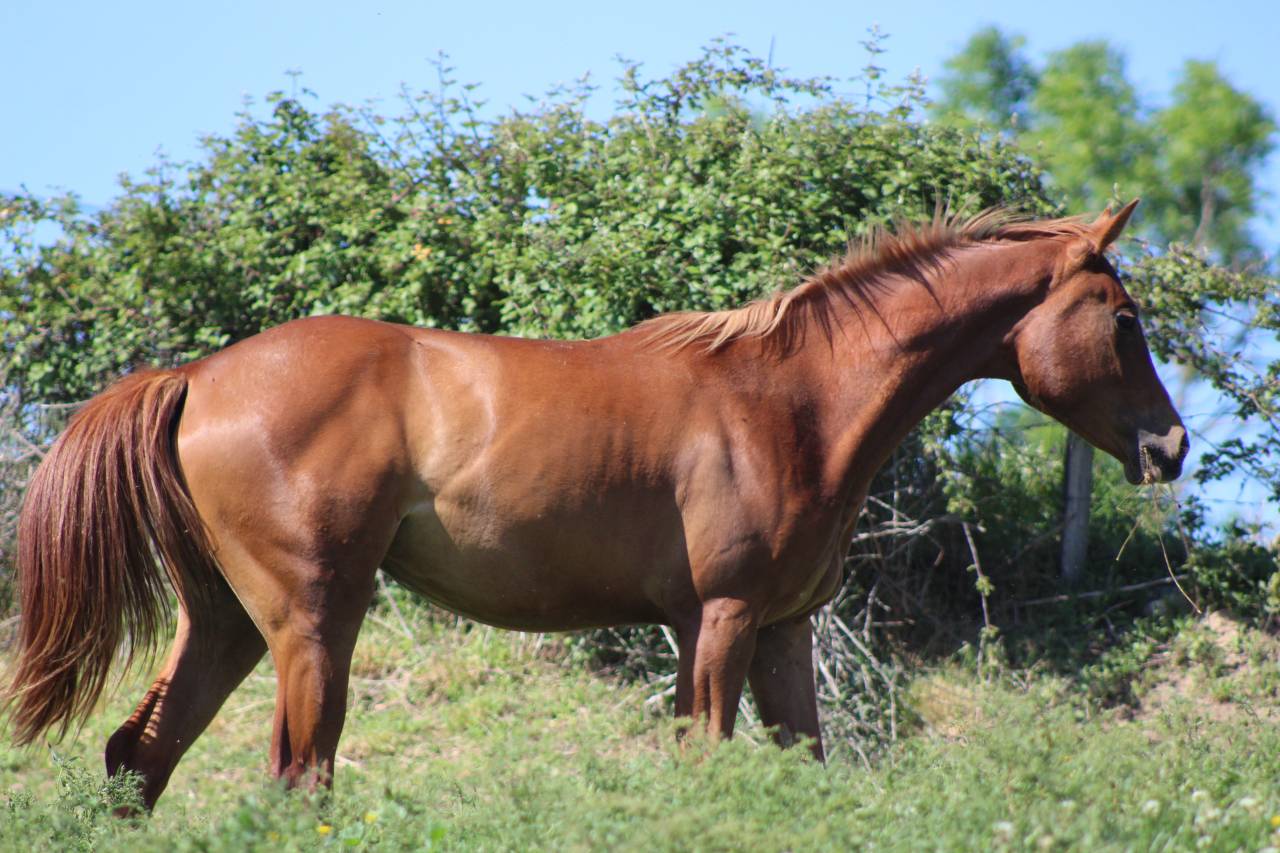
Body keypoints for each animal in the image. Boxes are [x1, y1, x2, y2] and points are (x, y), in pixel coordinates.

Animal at [5, 201, 1187, 810]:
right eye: (1122, 319)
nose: (1169, 444)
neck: (787, 399)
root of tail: (198, 377)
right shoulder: (718, 622)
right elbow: (705, 771)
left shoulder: (779, 633)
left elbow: (798, 773)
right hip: (311, 621)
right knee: (298, 776)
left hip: (227, 622)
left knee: (138, 757)